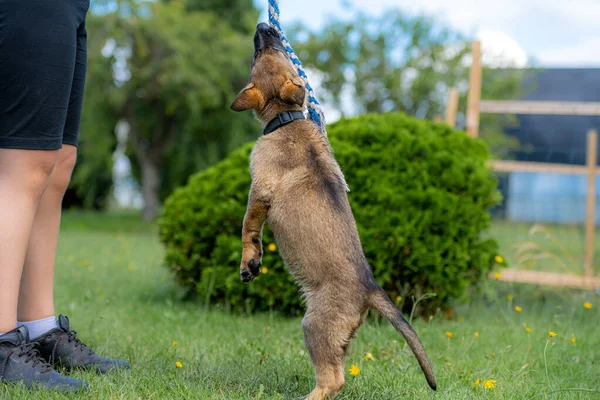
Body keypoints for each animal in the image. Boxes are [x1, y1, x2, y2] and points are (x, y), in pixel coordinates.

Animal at [230, 23, 436, 400]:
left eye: (259, 53)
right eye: (276, 48)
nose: (265, 26)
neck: (286, 118)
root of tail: (370, 287)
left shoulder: (259, 190)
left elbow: (249, 228)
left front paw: (249, 263)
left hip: (315, 325)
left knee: (332, 380)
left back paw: (306, 397)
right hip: (337, 337)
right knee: (339, 375)